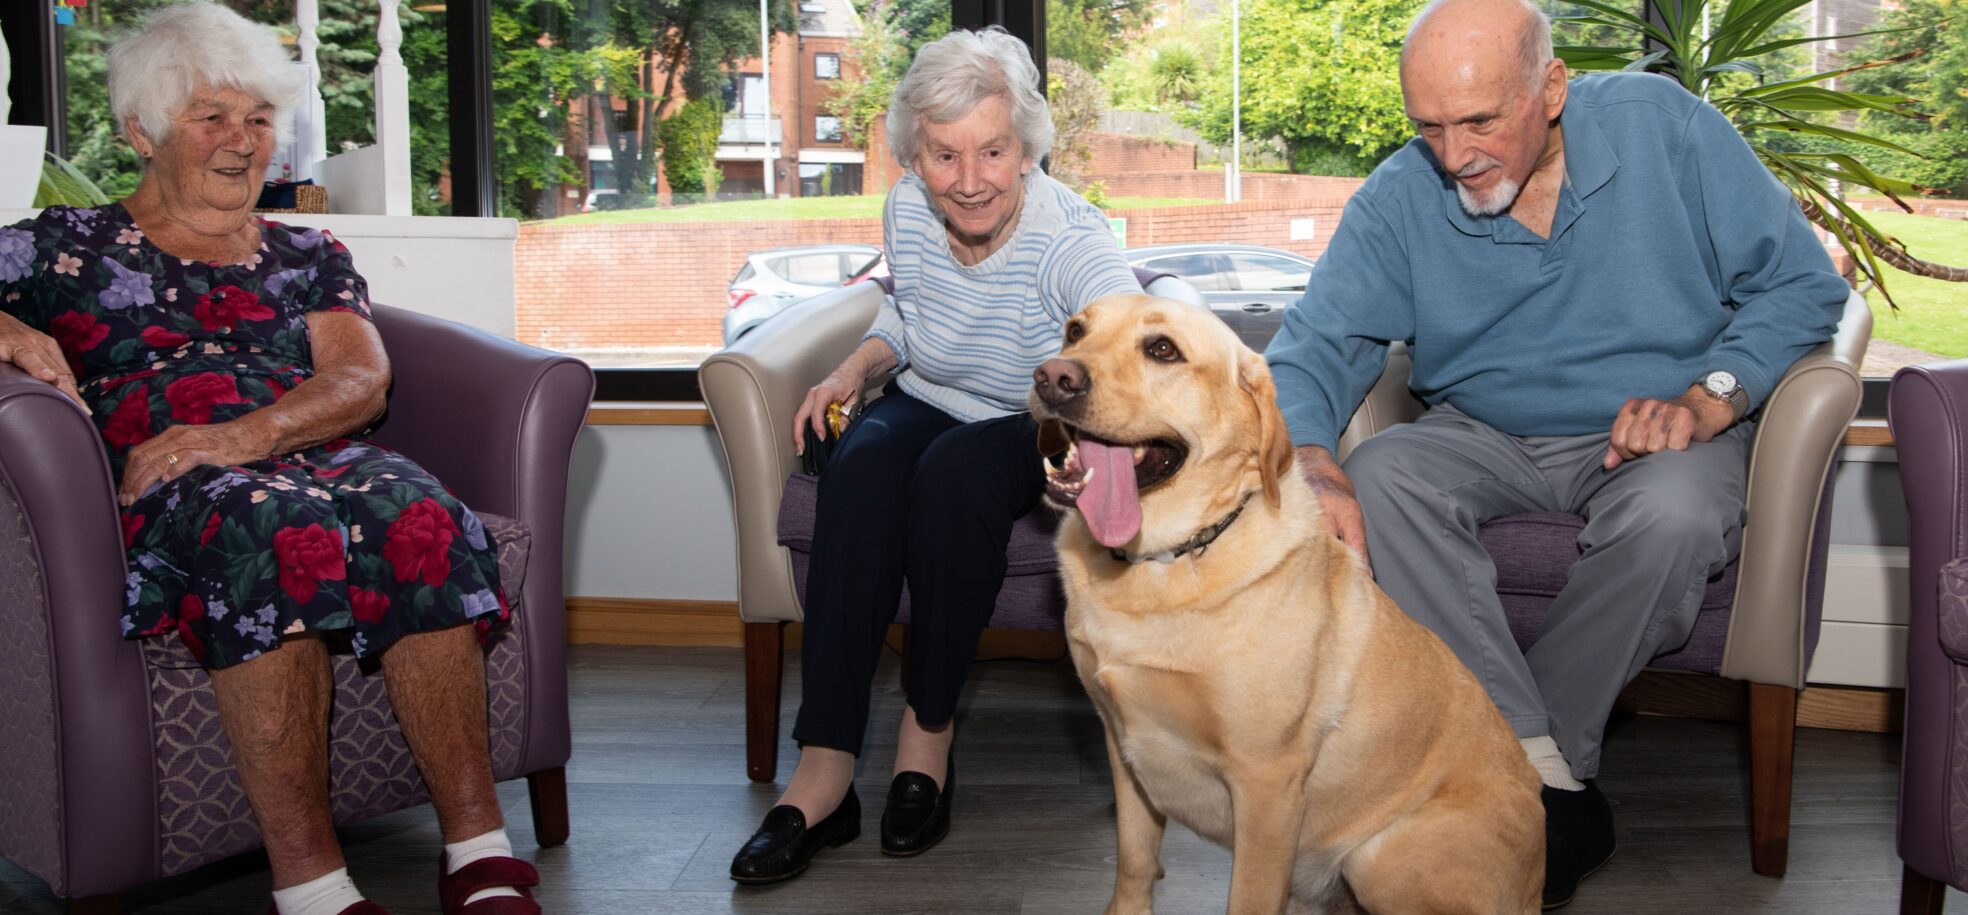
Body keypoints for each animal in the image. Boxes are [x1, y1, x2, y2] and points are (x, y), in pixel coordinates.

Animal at [1039, 295, 1542, 909]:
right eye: (1074, 331)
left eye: (1162, 349)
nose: (1052, 378)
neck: (1166, 558)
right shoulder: (1122, 745)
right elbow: (1134, 862)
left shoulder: (1266, 785)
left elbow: (1249, 898)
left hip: (1379, 858)